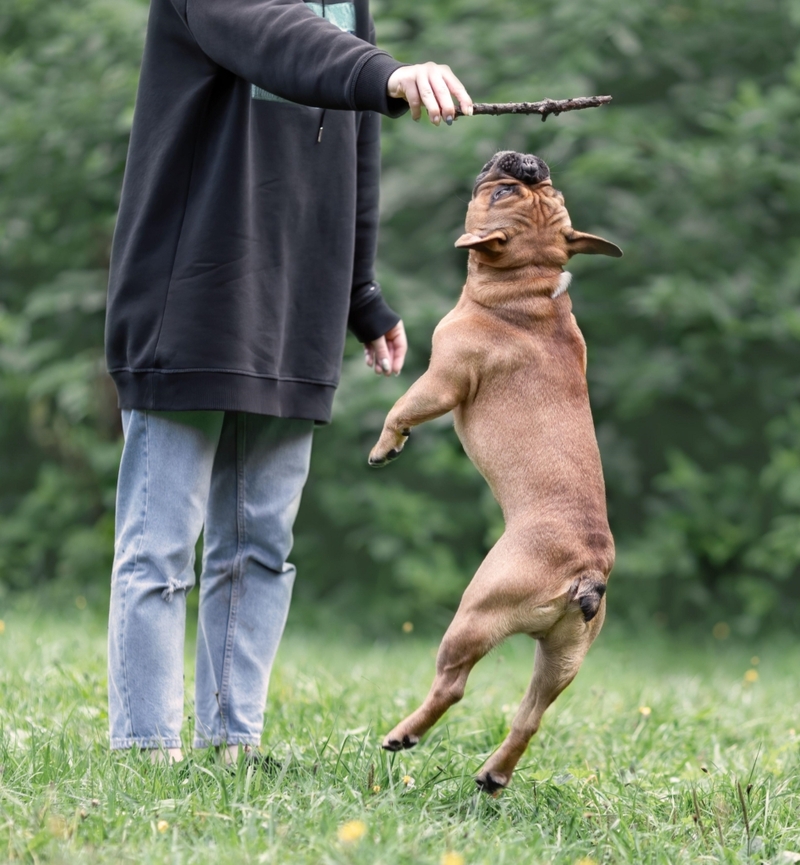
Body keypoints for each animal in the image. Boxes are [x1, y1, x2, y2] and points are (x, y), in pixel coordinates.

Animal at [368, 152, 624, 792]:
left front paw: (386, 446)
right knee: (530, 716)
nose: (525, 160)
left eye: (502, 191)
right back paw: (493, 775)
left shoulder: (442, 380)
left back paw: (403, 734)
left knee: (452, 686)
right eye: (541, 189)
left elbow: (401, 408)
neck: (529, 284)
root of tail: (587, 569)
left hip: (475, 614)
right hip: (563, 656)